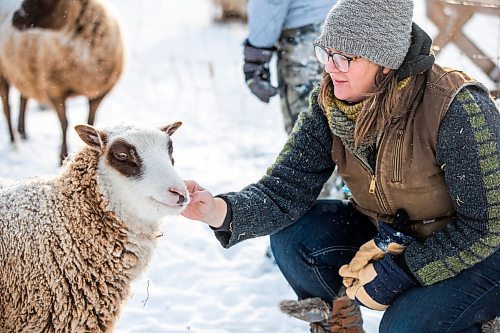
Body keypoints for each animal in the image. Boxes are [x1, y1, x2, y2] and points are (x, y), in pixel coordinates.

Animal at [0, 0, 124, 162]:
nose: (15, 19)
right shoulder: (55, 90)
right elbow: (64, 123)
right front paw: (62, 157)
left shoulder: (99, 93)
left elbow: (90, 121)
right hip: (4, 73)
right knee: (7, 108)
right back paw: (14, 142)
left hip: (24, 75)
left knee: (23, 99)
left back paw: (23, 134)